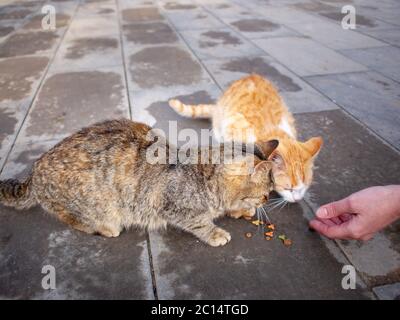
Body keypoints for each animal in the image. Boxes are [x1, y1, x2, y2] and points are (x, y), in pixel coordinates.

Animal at [0, 119, 278, 246]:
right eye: (266, 194)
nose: (265, 202)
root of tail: (34, 170)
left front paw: (241, 210)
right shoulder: (173, 207)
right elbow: (199, 222)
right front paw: (216, 232)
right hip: (89, 206)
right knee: (71, 218)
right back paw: (103, 228)